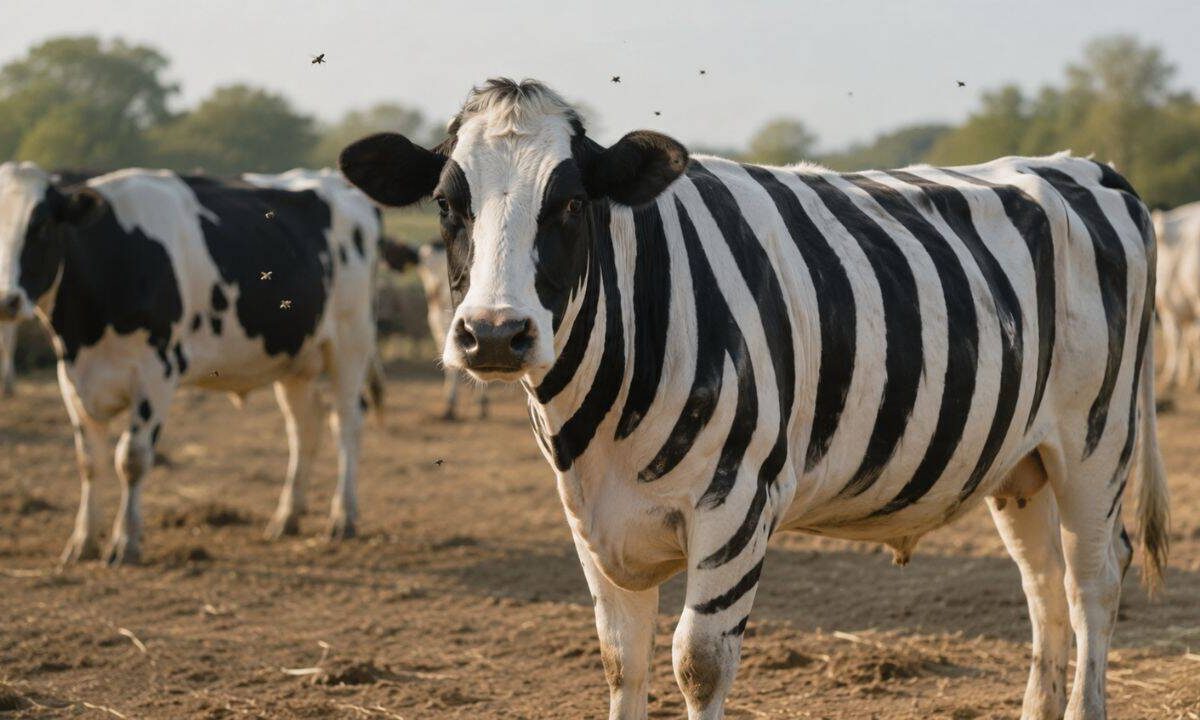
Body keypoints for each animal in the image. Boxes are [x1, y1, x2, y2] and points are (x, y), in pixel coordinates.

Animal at [0, 161, 380, 564]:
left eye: (41, 225)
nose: (6, 300)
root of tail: (334, 179)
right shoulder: (72, 379)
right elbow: (88, 461)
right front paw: (82, 541)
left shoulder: (157, 372)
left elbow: (132, 458)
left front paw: (125, 542)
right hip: (295, 357)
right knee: (304, 427)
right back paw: (286, 517)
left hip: (351, 340)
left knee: (347, 423)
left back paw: (343, 517)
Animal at [339, 79, 1168, 720]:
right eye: (446, 205)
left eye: (571, 203)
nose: (494, 334)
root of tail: (1085, 167)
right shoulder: (591, 518)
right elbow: (620, 659)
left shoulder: (736, 505)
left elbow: (698, 662)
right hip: (1019, 462)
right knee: (1043, 583)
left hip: (1096, 444)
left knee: (1094, 579)